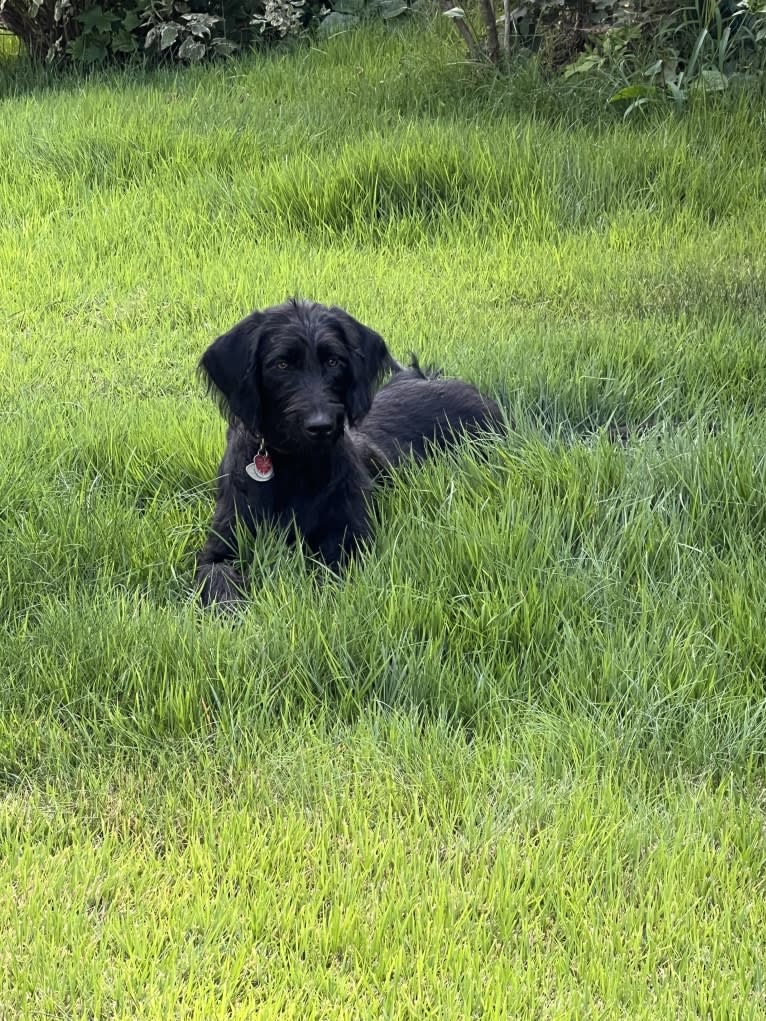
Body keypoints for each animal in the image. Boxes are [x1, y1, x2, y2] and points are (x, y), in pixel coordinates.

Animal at [195, 298, 500, 604]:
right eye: (281, 364)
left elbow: (329, 584)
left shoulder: (350, 542)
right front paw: (231, 606)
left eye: (333, 361)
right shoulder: (221, 543)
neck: (297, 466)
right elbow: (216, 574)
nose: (321, 426)